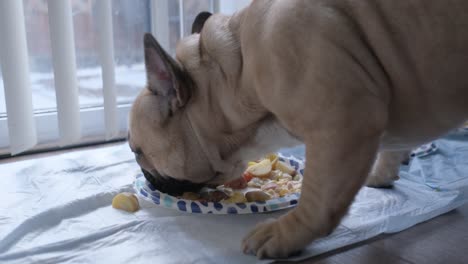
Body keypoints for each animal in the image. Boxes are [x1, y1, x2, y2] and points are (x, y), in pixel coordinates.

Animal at [127, 0, 468, 258]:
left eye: (137, 151)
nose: (143, 173)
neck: (236, 74)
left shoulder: (342, 121)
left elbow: (318, 198)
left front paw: (284, 235)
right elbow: (391, 148)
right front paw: (384, 173)